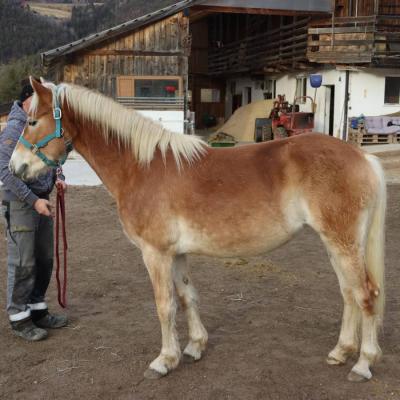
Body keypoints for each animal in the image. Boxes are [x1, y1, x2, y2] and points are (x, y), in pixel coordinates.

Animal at [9, 78, 386, 382]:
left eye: (32, 121)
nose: (15, 168)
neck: (140, 167)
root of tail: (362, 157)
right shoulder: (175, 254)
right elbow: (187, 297)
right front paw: (194, 347)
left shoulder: (155, 254)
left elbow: (165, 305)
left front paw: (164, 360)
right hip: (336, 243)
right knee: (349, 293)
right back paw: (341, 352)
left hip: (343, 243)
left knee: (366, 294)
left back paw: (362, 364)